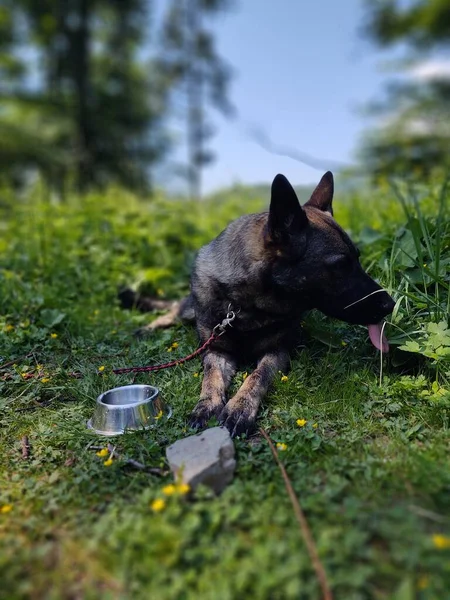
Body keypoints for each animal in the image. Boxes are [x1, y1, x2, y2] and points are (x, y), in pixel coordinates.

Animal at [121, 172, 396, 436]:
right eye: (340, 265)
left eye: (357, 260)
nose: (390, 304)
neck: (245, 306)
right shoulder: (216, 350)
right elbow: (210, 377)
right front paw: (206, 405)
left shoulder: (277, 352)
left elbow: (257, 376)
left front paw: (239, 408)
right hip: (191, 308)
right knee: (173, 310)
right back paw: (145, 329)